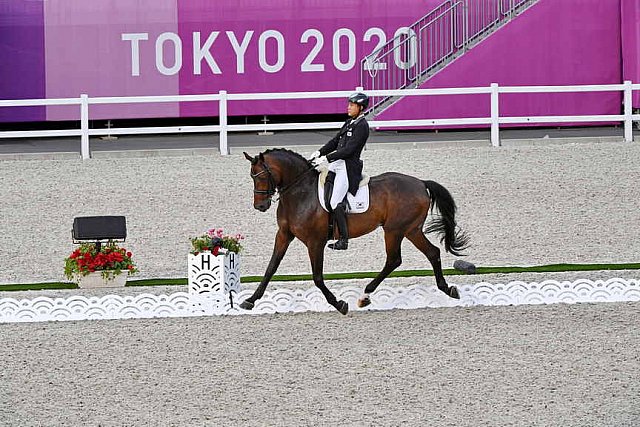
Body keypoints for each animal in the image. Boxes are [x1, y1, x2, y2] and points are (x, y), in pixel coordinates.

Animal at [240, 149, 470, 316]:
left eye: (262, 176)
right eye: (252, 176)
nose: (260, 206)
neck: (300, 193)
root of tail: (421, 183)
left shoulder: (315, 242)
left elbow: (317, 277)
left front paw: (339, 303)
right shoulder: (283, 235)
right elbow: (271, 268)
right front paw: (250, 301)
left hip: (394, 230)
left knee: (394, 260)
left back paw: (365, 295)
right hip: (411, 230)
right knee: (432, 253)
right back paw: (447, 289)